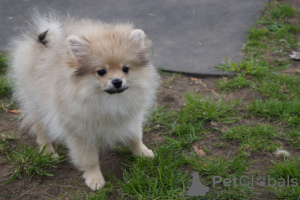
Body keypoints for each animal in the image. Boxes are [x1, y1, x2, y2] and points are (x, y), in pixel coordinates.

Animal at [8, 12, 159, 191]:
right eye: (101, 71)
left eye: (126, 69)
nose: (117, 81)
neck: (108, 99)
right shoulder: (80, 133)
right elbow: (89, 159)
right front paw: (95, 179)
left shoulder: (131, 118)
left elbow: (136, 137)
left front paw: (143, 153)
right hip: (37, 104)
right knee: (41, 129)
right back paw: (49, 153)